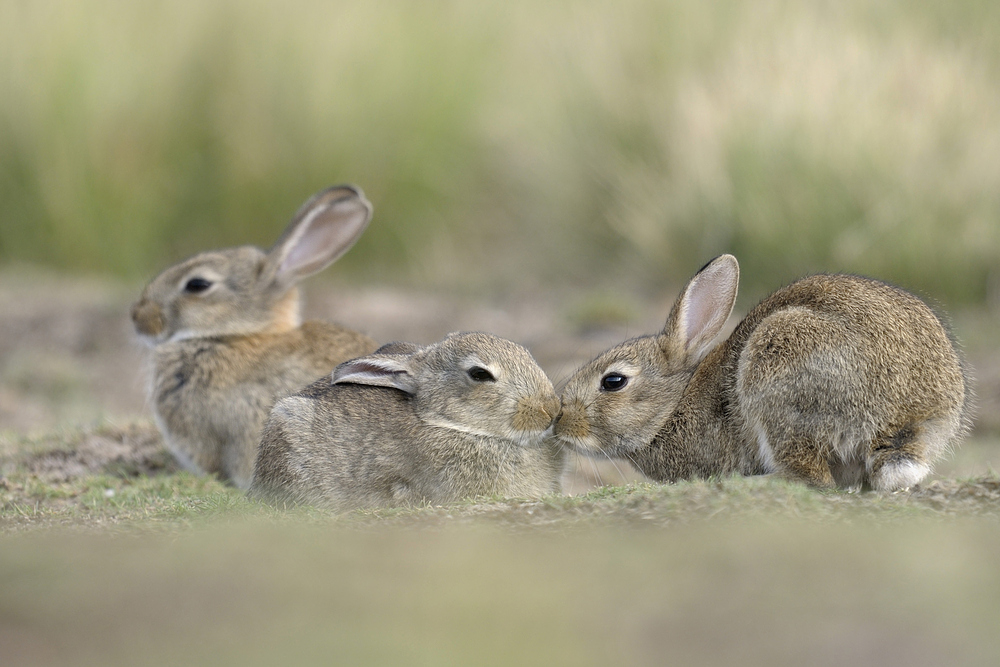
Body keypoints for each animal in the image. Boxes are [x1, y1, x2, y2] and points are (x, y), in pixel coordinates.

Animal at [556, 254, 968, 490]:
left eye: (613, 381)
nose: (560, 421)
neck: (673, 407)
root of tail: (906, 419)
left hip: (778, 373)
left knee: (812, 477)